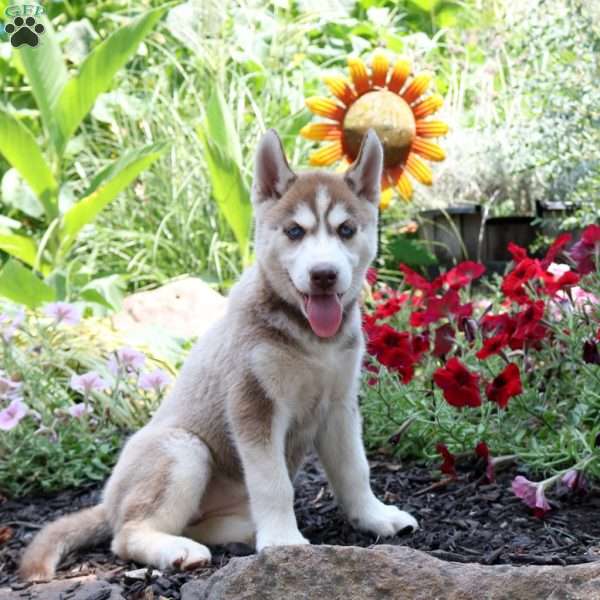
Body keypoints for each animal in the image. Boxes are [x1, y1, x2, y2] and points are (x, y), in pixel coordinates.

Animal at [22, 127, 418, 580]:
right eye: (295, 232)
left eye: (347, 229)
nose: (323, 275)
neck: (310, 338)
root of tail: (107, 503)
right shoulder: (253, 403)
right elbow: (272, 483)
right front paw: (283, 540)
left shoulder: (338, 405)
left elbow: (355, 470)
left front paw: (376, 517)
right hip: (183, 450)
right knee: (126, 535)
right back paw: (178, 549)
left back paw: (238, 535)